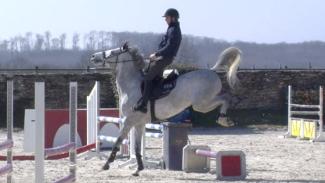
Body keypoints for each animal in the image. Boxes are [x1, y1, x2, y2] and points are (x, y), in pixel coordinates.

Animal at [88, 43, 240, 176]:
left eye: (112, 52)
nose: (93, 56)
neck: (131, 85)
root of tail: (212, 71)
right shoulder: (138, 124)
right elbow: (136, 148)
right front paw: (138, 169)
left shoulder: (128, 121)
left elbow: (117, 141)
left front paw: (106, 165)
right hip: (204, 103)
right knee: (226, 97)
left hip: (202, 104)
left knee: (226, 98)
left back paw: (224, 120)